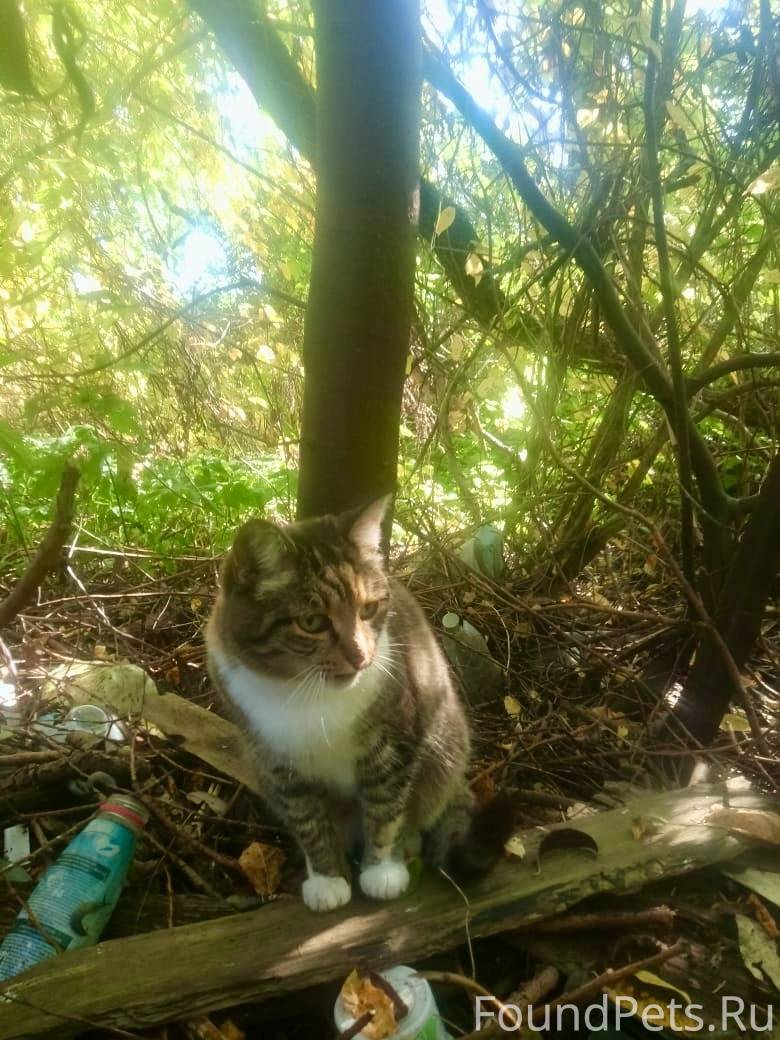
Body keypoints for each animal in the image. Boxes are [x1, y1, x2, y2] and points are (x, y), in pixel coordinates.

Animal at [205, 496, 509, 911]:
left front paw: (382, 870)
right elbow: (308, 819)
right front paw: (327, 878)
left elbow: (386, 806)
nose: (361, 656)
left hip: (444, 746)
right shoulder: (276, 761)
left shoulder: (394, 740)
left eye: (369, 609)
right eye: (312, 622)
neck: (305, 694)